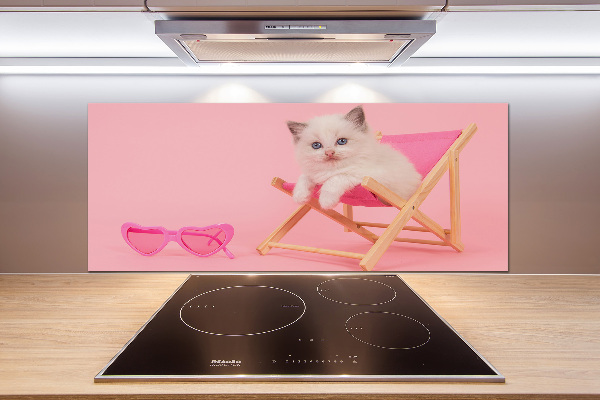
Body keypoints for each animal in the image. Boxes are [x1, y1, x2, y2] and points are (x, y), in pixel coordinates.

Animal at [288, 104, 422, 211]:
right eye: (316, 145)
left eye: (342, 141)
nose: (329, 153)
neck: (332, 170)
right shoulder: (313, 173)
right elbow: (304, 177)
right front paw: (299, 195)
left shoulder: (370, 177)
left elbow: (335, 179)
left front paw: (326, 201)